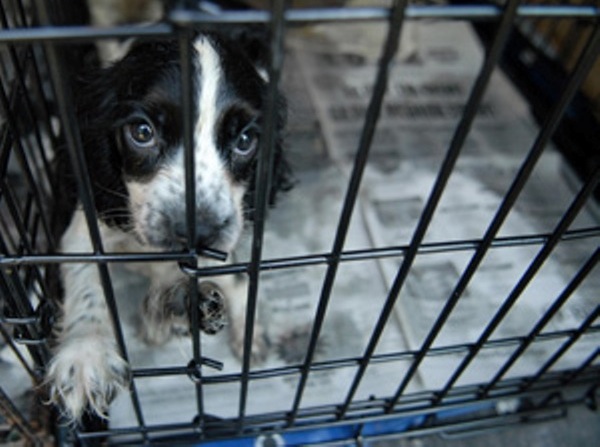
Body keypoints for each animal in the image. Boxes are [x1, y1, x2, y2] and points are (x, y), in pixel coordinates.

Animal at [46, 32, 290, 424]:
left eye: (245, 141)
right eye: (142, 132)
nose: (198, 231)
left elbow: (223, 279)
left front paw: (169, 311)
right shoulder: (85, 229)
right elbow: (88, 278)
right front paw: (86, 352)